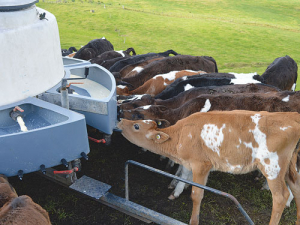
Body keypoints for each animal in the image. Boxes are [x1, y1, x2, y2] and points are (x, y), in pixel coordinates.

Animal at [119, 111, 300, 225]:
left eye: (136, 126)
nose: (120, 120)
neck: (180, 136)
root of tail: (290, 117)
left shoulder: (201, 164)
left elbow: (196, 195)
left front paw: (193, 221)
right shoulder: (190, 163)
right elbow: (184, 177)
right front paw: (176, 191)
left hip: (272, 166)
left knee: (281, 196)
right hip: (289, 166)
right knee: (296, 188)